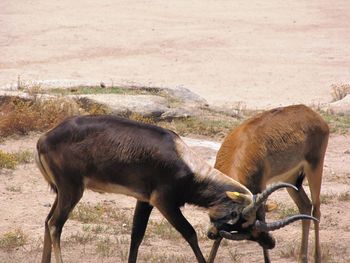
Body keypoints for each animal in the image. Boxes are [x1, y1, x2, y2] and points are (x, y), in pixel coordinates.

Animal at [33, 114, 312, 262]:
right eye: (242, 221)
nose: (270, 242)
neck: (185, 163)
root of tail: (43, 139)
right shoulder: (164, 203)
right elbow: (189, 233)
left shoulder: (144, 200)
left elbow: (136, 236)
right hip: (72, 191)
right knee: (55, 225)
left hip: (63, 192)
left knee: (47, 221)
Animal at [212, 105, 330, 263]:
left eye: (253, 228)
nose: (271, 243)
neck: (241, 147)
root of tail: (309, 111)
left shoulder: (261, 189)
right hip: (290, 178)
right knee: (305, 206)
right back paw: (302, 258)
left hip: (315, 168)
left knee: (316, 210)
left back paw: (317, 257)